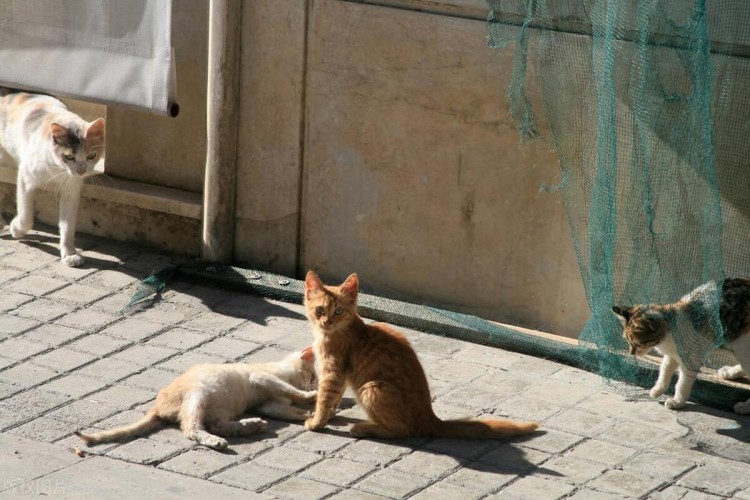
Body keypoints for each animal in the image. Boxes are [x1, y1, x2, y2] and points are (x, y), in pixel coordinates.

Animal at [0, 91, 106, 268]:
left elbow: (67, 226)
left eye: (91, 155)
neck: (57, 168)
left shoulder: (71, 190)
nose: (82, 171)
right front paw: (16, 229)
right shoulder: (25, 178)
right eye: (69, 157)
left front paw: (70, 254)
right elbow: (26, 215)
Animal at [76, 348, 320, 450]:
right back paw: (219, 440)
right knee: (192, 429)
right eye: (314, 375)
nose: (317, 384)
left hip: (221, 409)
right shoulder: (262, 377)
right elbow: (290, 390)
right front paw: (310, 397)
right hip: (198, 394)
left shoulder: (267, 404)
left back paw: (251, 425)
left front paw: (307, 414)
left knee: (216, 425)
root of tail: (157, 406)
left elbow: (284, 409)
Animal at [302, 272, 544, 440]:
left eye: (338, 311)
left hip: (372, 388)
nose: (327, 322)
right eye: (320, 310)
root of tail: (431, 417)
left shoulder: (333, 373)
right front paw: (328, 415)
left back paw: (364, 428)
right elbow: (334, 398)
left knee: (402, 431)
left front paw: (317, 422)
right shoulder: (340, 376)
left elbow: (324, 398)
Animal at [612, 278, 750, 414]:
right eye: (628, 341)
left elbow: (682, 383)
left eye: (638, 343)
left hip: (742, 347)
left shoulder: (691, 360)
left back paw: (744, 406)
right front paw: (657, 389)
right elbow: (664, 370)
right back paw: (729, 372)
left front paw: (677, 401)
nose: (631, 353)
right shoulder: (671, 355)